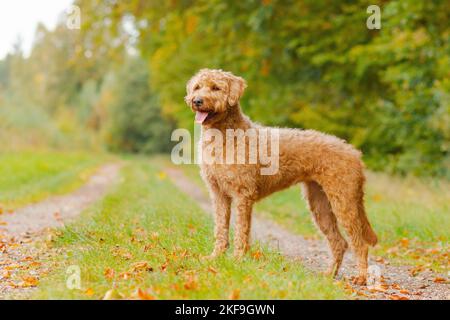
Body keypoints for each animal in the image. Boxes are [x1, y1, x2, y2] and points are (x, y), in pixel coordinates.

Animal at [185, 68, 378, 284]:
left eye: (216, 88)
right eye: (197, 87)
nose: (197, 100)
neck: (226, 135)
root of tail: (355, 154)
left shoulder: (243, 194)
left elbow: (241, 231)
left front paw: (237, 260)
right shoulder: (218, 194)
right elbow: (220, 228)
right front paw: (215, 257)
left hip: (344, 202)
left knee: (359, 243)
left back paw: (361, 277)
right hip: (320, 204)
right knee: (339, 242)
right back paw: (329, 275)